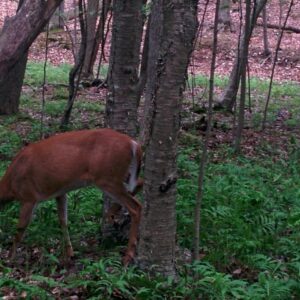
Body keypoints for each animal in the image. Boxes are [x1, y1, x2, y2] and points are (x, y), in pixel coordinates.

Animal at [0, 128, 143, 264]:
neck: (10, 185)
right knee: (140, 183)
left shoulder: (28, 196)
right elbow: (63, 221)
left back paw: (128, 255)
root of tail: (134, 144)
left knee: (136, 206)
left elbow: (20, 228)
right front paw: (70, 254)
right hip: (119, 175)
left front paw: (9, 258)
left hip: (106, 177)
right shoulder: (60, 192)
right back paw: (111, 214)